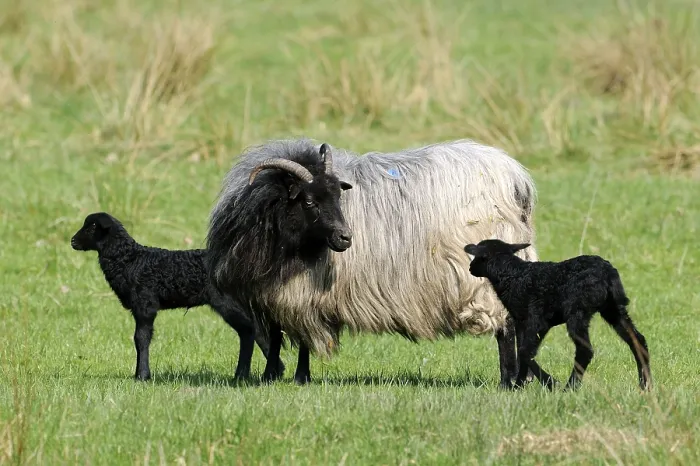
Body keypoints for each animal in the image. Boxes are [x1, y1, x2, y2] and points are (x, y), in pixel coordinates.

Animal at [70, 212, 284, 381]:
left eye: (92, 227)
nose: (72, 241)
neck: (129, 259)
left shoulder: (145, 304)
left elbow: (141, 338)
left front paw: (142, 375)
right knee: (258, 331)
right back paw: (275, 371)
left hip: (228, 303)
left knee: (248, 332)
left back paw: (242, 375)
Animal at [207, 139, 538, 387]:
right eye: (309, 201)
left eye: (339, 198)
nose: (346, 238)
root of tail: (517, 182)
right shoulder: (273, 292)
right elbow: (277, 336)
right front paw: (273, 377)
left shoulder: (301, 292)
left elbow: (300, 338)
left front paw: (297, 377)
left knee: (506, 325)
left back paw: (508, 380)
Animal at [463, 239, 651, 391]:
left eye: (478, 257)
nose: (470, 268)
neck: (513, 275)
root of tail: (608, 274)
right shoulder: (524, 322)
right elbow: (524, 352)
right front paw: (518, 386)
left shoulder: (536, 319)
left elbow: (525, 351)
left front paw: (550, 383)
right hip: (613, 308)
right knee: (637, 340)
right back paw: (646, 385)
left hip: (578, 311)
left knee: (585, 350)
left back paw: (570, 387)